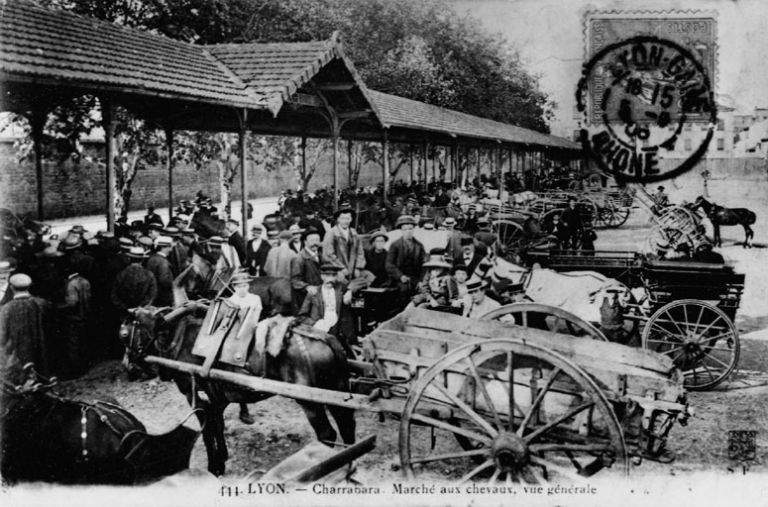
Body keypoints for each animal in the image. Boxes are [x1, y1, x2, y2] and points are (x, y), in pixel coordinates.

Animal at [121, 304, 356, 478]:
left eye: (123, 334)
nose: (126, 366)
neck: (177, 338)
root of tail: (329, 338)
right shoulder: (217, 398)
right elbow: (218, 427)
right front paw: (222, 458)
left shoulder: (197, 398)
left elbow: (207, 433)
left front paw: (213, 466)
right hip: (338, 391)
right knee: (347, 425)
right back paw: (349, 465)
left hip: (310, 402)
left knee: (327, 434)